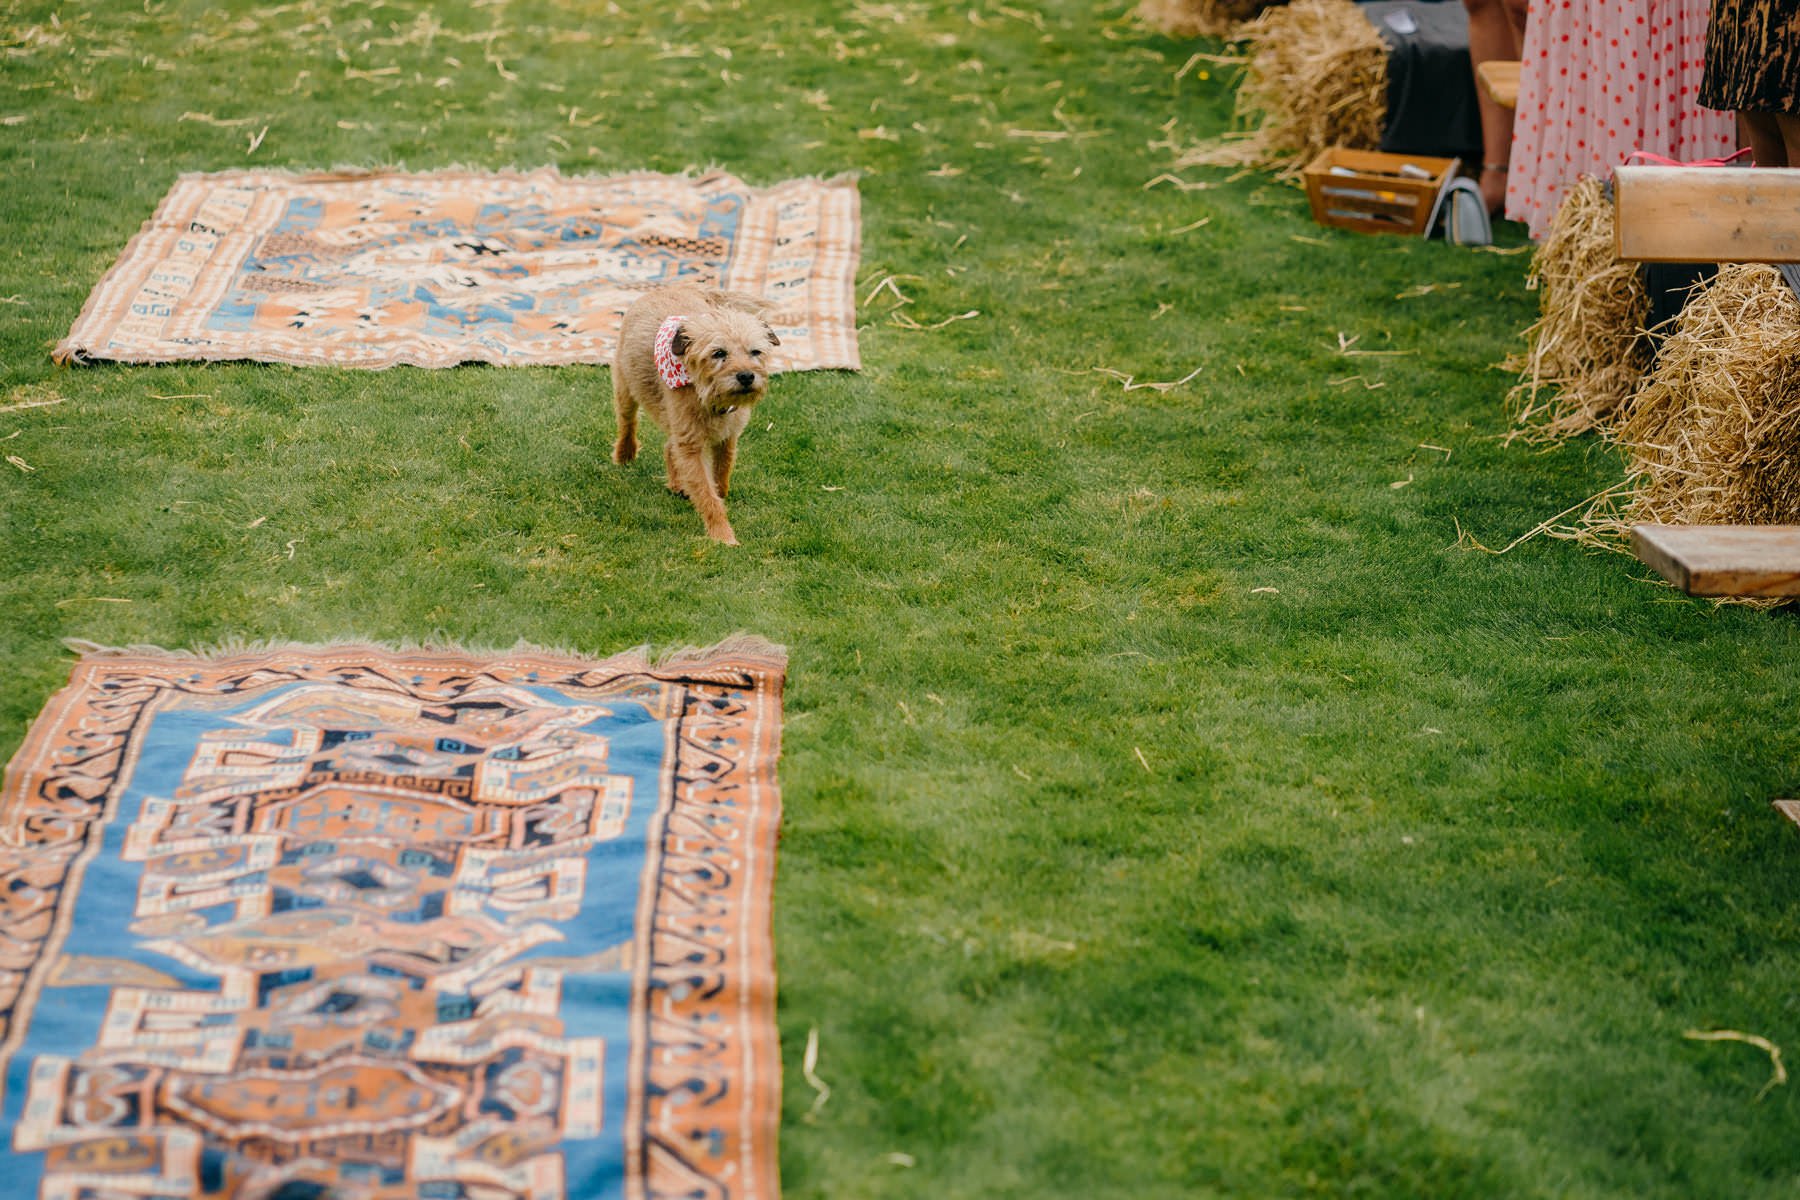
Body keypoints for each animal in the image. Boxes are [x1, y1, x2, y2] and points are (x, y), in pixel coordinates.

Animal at [612, 284, 781, 546]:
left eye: (755, 352)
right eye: (718, 353)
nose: (746, 376)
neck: (709, 396)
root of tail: (674, 286)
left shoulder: (727, 439)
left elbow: (721, 475)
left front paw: (720, 498)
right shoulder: (691, 446)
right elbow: (707, 495)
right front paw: (723, 535)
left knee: (669, 447)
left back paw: (675, 483)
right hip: (626, 388)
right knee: (628, 422)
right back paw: (624, 453)